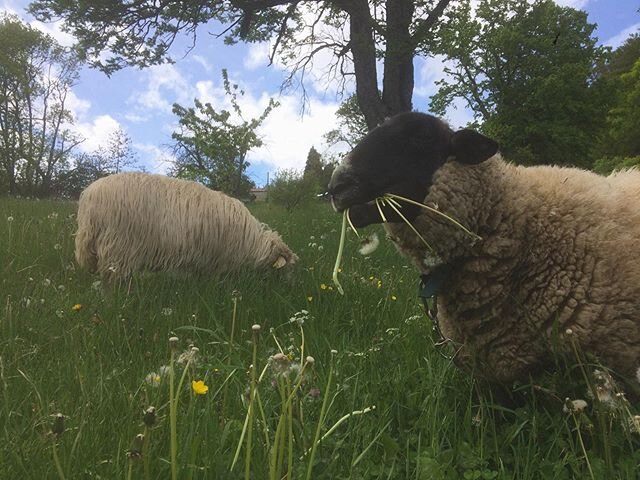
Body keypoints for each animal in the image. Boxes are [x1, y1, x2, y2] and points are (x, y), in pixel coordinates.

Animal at [74, 172, 298, 284]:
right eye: (286, 269)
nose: (291, 287)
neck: (252, 243)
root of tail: (89, 195)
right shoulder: (217, 261)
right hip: (119, 247)